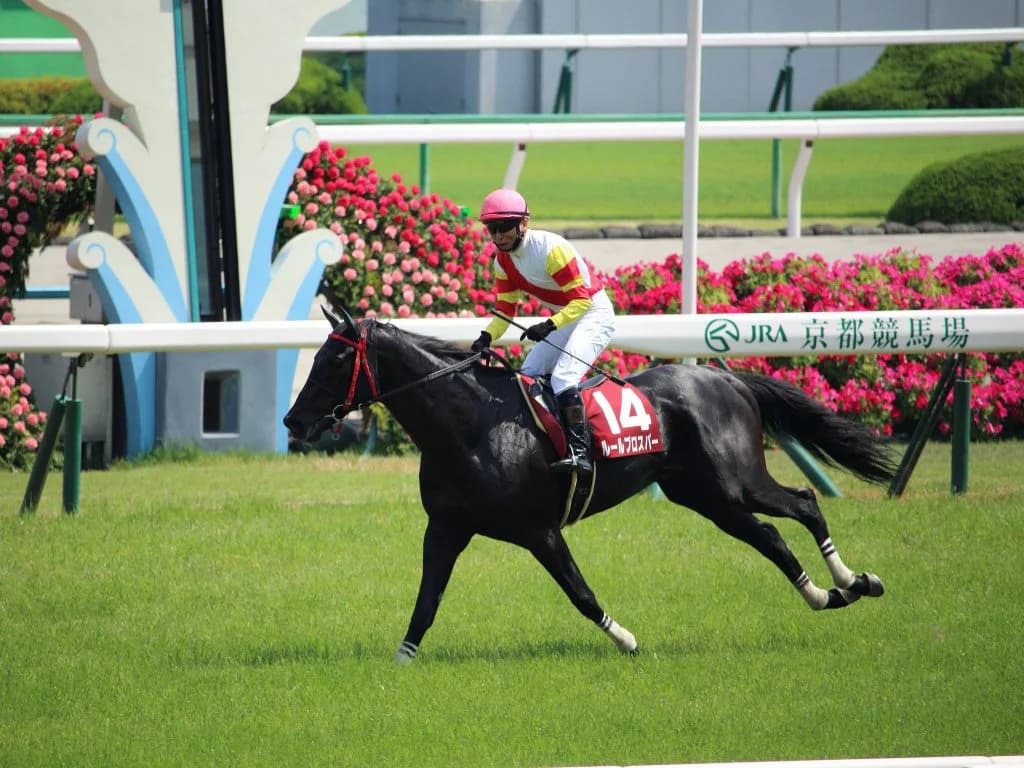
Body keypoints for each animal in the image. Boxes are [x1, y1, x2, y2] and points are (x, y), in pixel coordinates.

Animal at [284, 306, 898, 663]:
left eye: (333, 359)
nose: (293, 421)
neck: (472, 425)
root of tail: (729, 380)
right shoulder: (447, 527)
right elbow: (426, 600)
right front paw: (402, 663)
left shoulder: (539, 530)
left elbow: (579, 593)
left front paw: (625, 639)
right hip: (704, 494)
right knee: (770, 536)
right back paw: (828, 593)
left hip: (735, 481)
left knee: (804, 503)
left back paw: (854, 580)